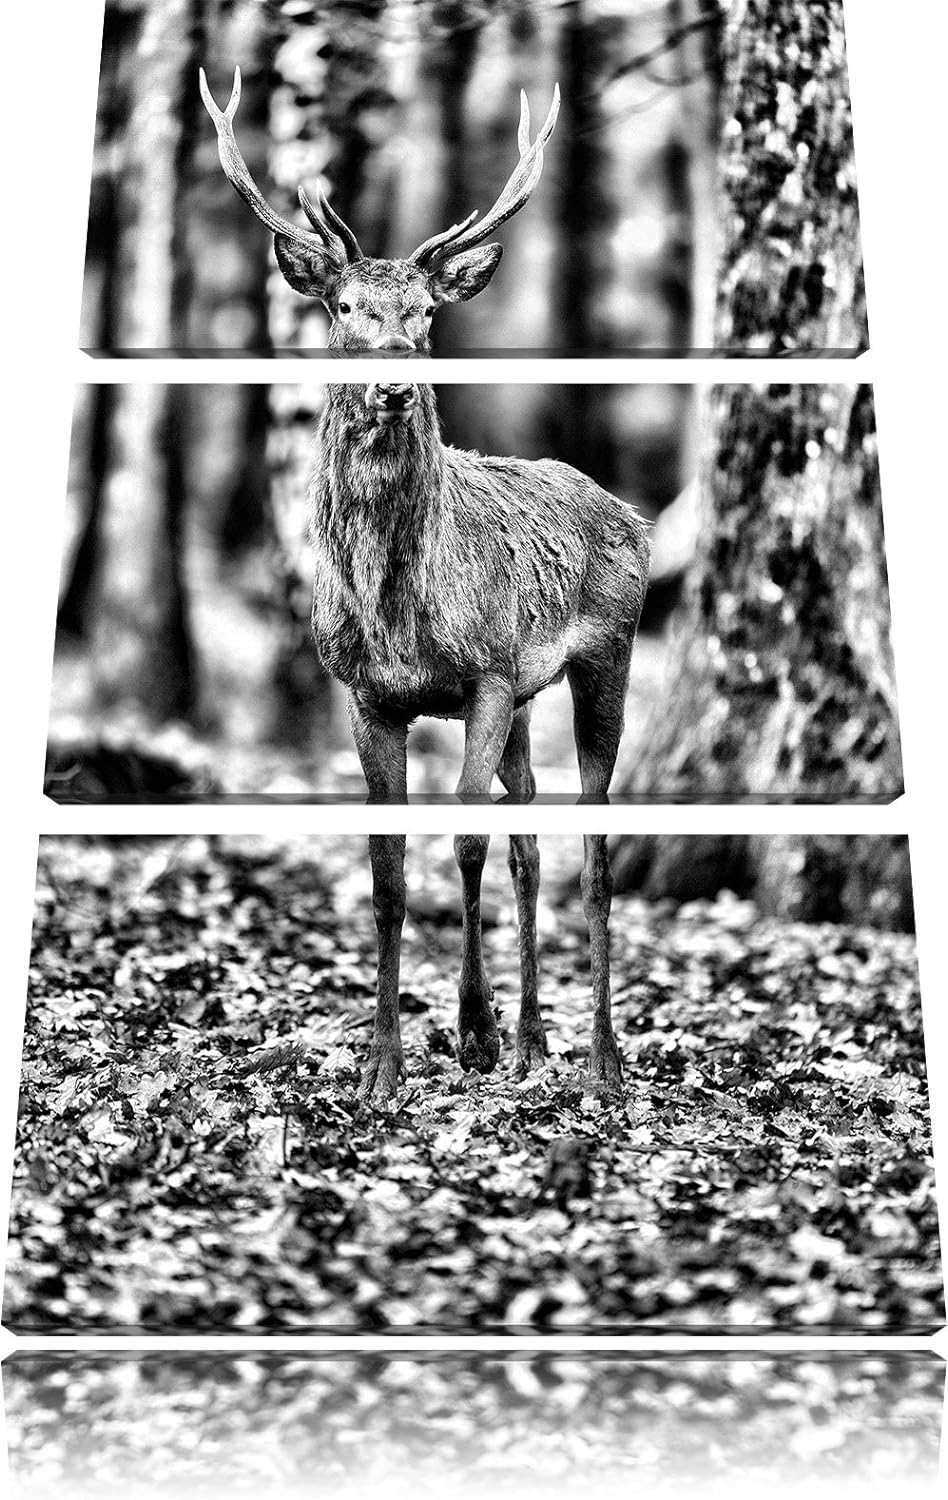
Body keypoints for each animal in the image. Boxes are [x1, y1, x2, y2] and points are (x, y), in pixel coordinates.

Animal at [200, 67, 651, 1105]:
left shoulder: (483, 675)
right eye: (346, 308)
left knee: (592, 841)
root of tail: (627, 510)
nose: (396, 385)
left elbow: (465, 842)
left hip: (607, 649)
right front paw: (384, 1066)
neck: (397, 608)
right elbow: (390, 868)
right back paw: (535, 1040)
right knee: (532, 837)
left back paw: (601, 1059)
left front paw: (469, 1034)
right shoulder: (369, 696)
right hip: (529, 693)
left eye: (425, 313)